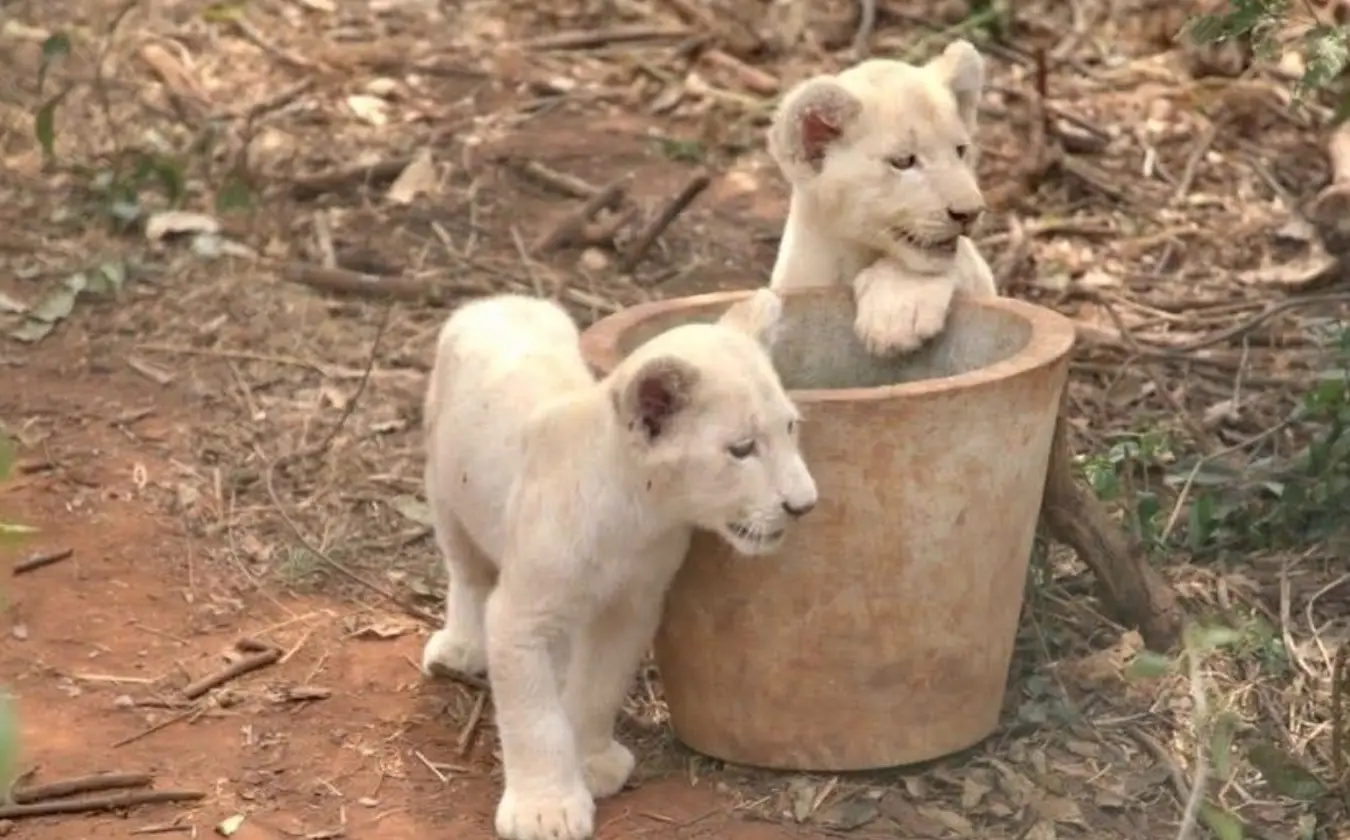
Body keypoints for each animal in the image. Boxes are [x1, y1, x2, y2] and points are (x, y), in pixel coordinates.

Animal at [419, 290, 818, 840]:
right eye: (741, 449)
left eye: (790, 427)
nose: (804, 504)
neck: (638, 517)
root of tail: (499, 299)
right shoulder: (521, 616)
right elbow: (534, 717)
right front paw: (546, 809)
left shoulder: (631, 607)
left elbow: (598, 688)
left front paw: (590, 765)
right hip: (445, 492)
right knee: (466, 574)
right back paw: (459, 647)